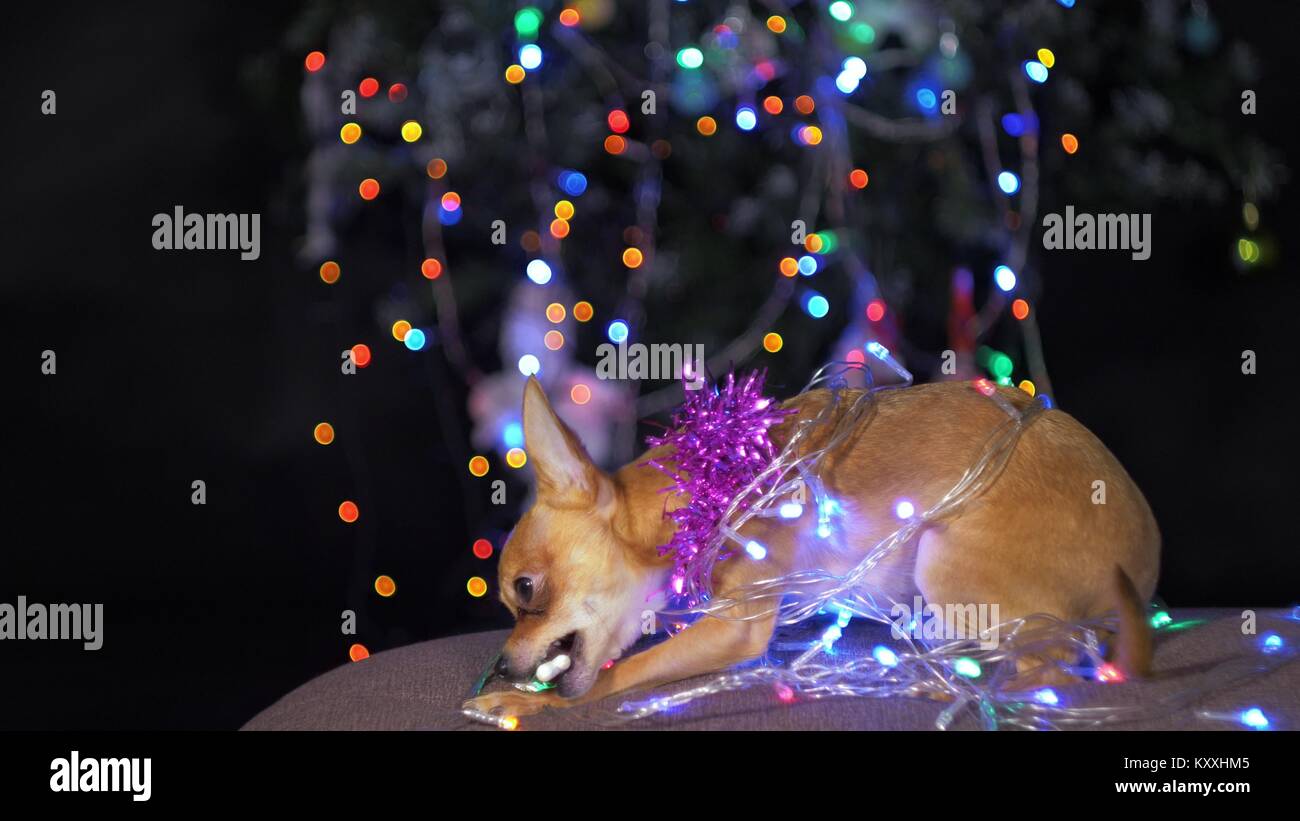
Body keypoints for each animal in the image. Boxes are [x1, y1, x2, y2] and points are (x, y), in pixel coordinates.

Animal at [465, 374, 1159, 717]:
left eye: (526, 591)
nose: (500, 665)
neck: (696, 490)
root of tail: (1144, 573)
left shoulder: (736, 627)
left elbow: (616, 675)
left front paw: (517, 703)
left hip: (942, 562)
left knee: (1052, 668)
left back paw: (941, 689)